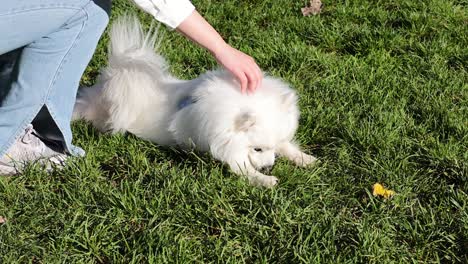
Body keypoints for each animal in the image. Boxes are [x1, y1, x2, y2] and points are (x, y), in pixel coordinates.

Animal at [73, 16, 318, 188]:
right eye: (257, 149)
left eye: (271, 148)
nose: (269, 166)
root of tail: (113, 75)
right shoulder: (223, 145)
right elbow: (242, 167)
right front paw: (264, 180)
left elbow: (288, 148)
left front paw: (305, 159)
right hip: (99, 110)